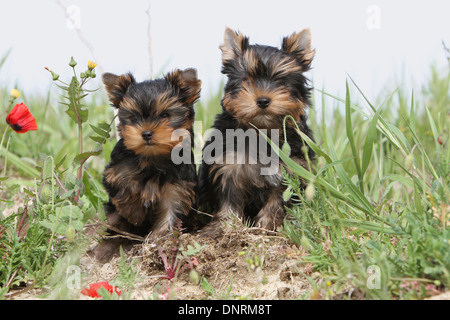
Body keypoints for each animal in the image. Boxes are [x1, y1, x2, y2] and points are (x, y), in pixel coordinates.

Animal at [96, 69, 201, 262]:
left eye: (165, 115)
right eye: (134, 117)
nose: (146, 133)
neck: (154, 157)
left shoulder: (178, 187)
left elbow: (170, 211)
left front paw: (161, 238)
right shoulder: (116, 170)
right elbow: (125, 182)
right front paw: (134, 212)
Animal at [197, 27, 316, 236]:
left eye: (280, 81)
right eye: (247, 80)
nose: (262, 100)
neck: (262, 130)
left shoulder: (288, 170)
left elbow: (276, 202)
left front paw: (267, 227)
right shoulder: (230, 165)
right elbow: (229, 200)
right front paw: (227, 228)